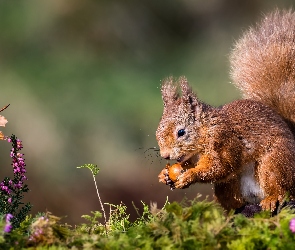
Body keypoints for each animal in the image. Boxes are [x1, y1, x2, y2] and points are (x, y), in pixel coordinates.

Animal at [157, 10, 295, 213]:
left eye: (181, 132)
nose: (165, 156)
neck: (206, 129)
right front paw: (164, 175)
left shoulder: (224, 141)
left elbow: (220, 166)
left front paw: (190, 175)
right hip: (229, 186)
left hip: (275, 163)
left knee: (280, 187)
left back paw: (271, 199)